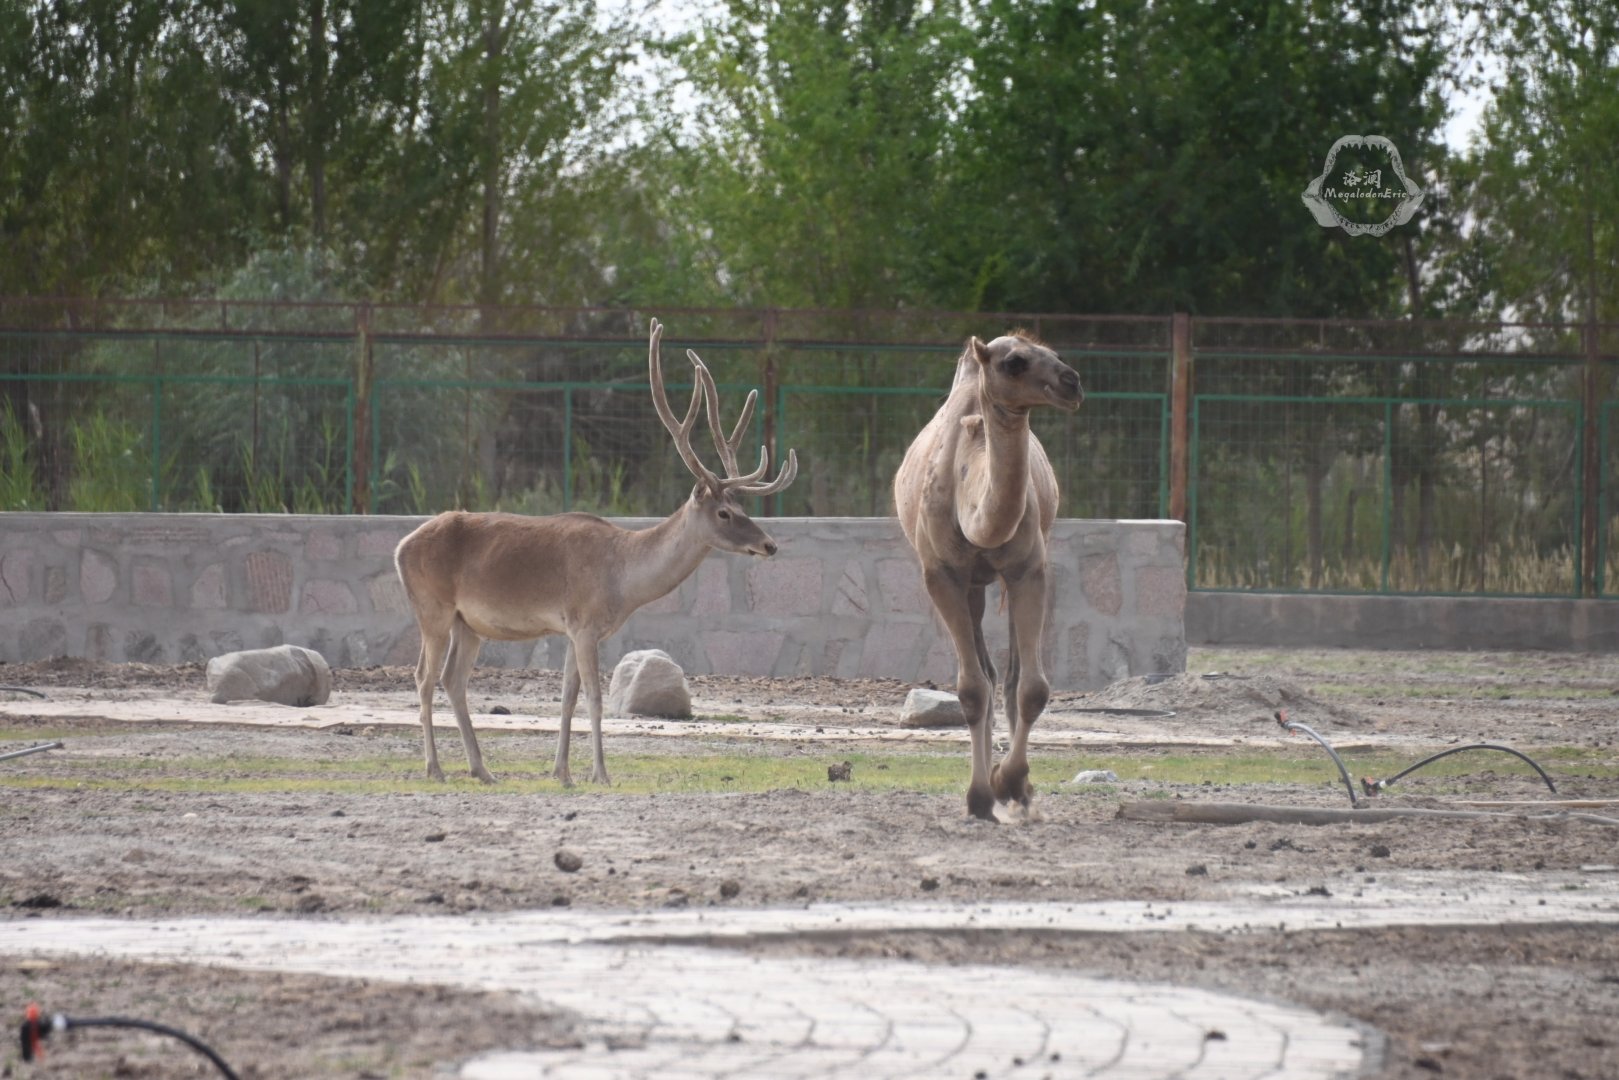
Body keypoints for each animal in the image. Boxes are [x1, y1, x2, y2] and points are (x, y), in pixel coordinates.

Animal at [393, 318, 798, 786]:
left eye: (743, 508)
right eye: (725, 512)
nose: (769, 544)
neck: (622, 581)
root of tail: (400, 547)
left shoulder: (572, 628)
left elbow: (568, 697)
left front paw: (563, 772)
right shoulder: (584, 623)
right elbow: (595, 698)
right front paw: (600, 774)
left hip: (468, 622)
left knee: (452, 678)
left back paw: (482, 770)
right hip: (432, 607)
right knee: (423, 676)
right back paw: (435, 768)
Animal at [893, 332, 1082, 821]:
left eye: (1055, 354)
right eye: (1014, 362)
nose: (1072, 381)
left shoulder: (1029, 569)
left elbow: (1031, 688)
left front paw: (1011, 783)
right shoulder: (942, 576)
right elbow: (972, 690)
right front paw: (980, 796)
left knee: (1011, 676)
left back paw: (1019, 795)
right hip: (972, 586)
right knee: (986, 674)